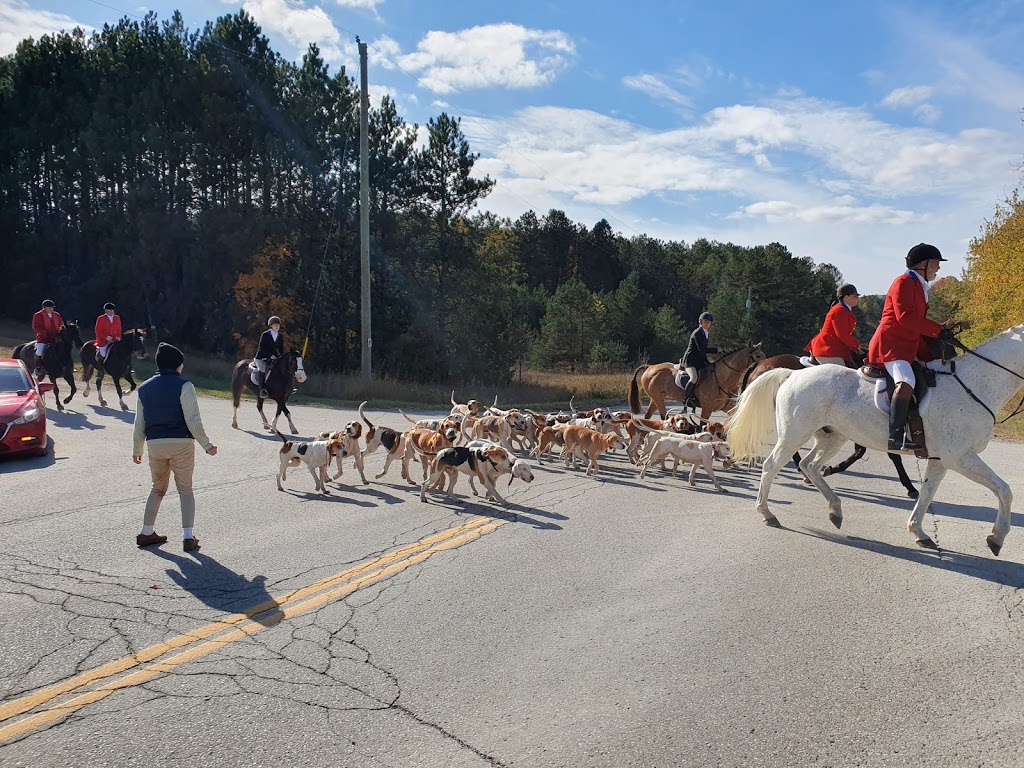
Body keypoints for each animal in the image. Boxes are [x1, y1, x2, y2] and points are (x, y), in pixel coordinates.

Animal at [626, 346, 765, 423]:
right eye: (758, 356)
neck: (722, 378)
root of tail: (650, 367)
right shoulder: (707, 408)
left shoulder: (726, 407)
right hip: (658, 399)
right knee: (663, 418)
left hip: (656, 398)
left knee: (648, 416)